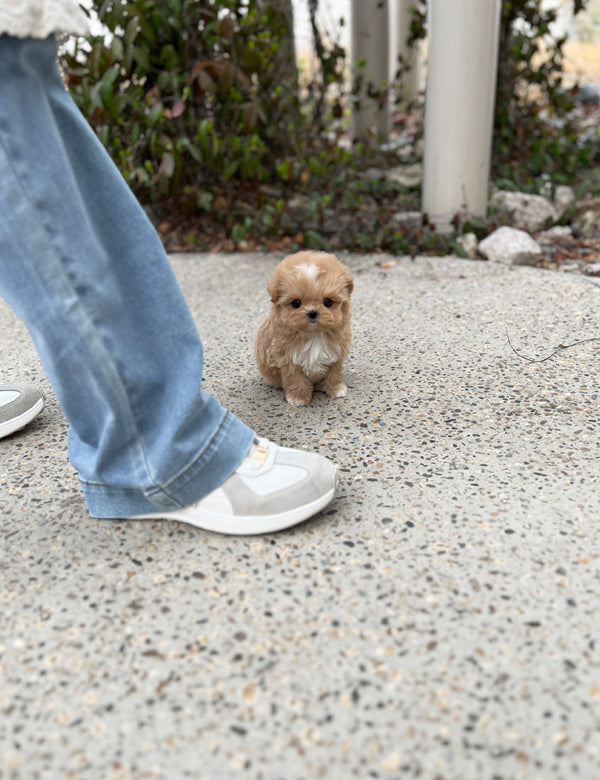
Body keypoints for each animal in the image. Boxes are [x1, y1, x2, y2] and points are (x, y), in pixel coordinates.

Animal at [253, 250, 352, 408]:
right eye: (296, 303)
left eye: (328, 302)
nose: (312, 312)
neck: (313, 334)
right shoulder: (287, 358)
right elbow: (295, 379)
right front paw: (299, 398)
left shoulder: (336, 352)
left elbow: (335, 372)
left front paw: (336, 389)